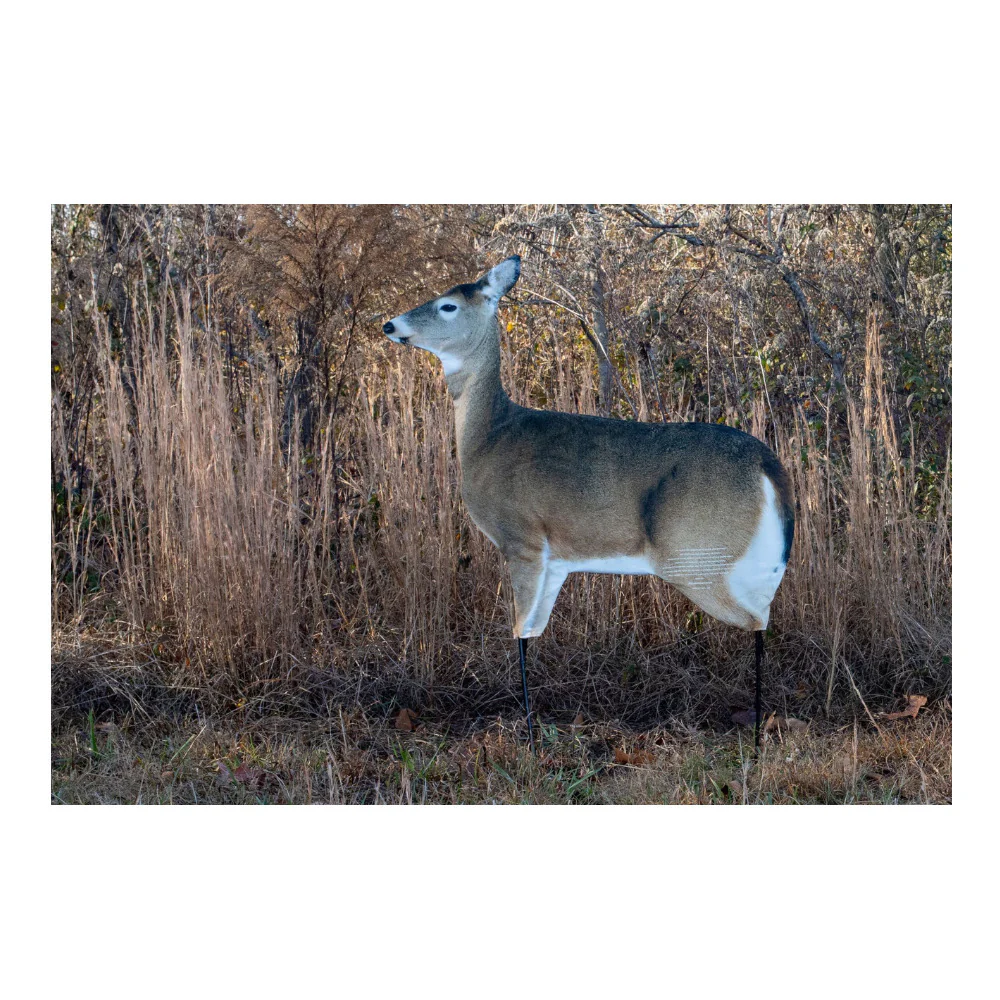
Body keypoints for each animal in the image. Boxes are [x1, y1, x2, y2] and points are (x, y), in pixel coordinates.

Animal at [382, 255, 794, 751]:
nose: (389, 324)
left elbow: (519, 631)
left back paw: (755, 741)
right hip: (745, 557)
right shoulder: (557, 558)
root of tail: (768, 465)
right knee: (764, 609)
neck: (488, 437)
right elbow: (534, 629)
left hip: (694, 552)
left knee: (756, 618)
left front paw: (530, 740)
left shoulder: (521, 537)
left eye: (448, 306)